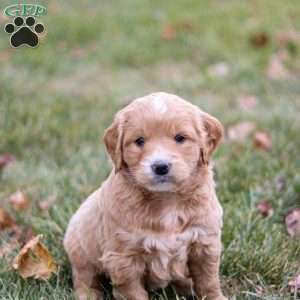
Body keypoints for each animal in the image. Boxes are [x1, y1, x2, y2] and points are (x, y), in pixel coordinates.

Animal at [63, 92, 227, 300]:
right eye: (139, 141)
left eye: (180, 138)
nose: (160, 166)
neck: (166, 200)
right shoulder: (123, 257)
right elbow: (133, 292)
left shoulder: (205, 243)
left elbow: (208, 281)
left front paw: (216, 297)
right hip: (80, 251)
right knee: (85, 278)